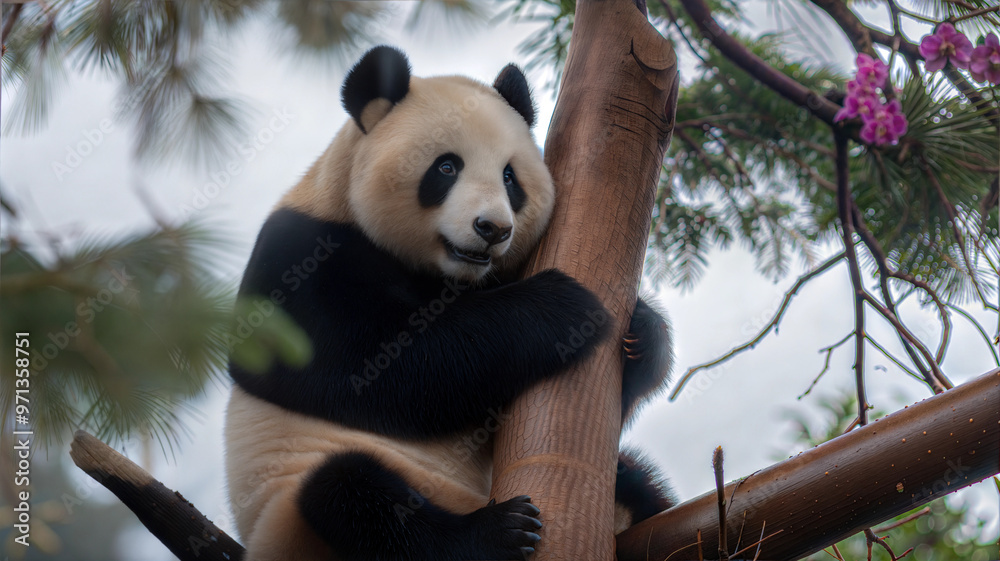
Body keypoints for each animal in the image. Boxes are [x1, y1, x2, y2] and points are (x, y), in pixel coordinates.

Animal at [224, 46, 675, 561]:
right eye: (446, 168)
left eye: (509, 177)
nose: (492, 229)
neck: (448, 278)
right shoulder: (300, 258)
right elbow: (379, 368)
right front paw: (563, 306)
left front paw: (643, 332)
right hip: (294, 509)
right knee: (353, 498)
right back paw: (497, 531)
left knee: (635, 479)